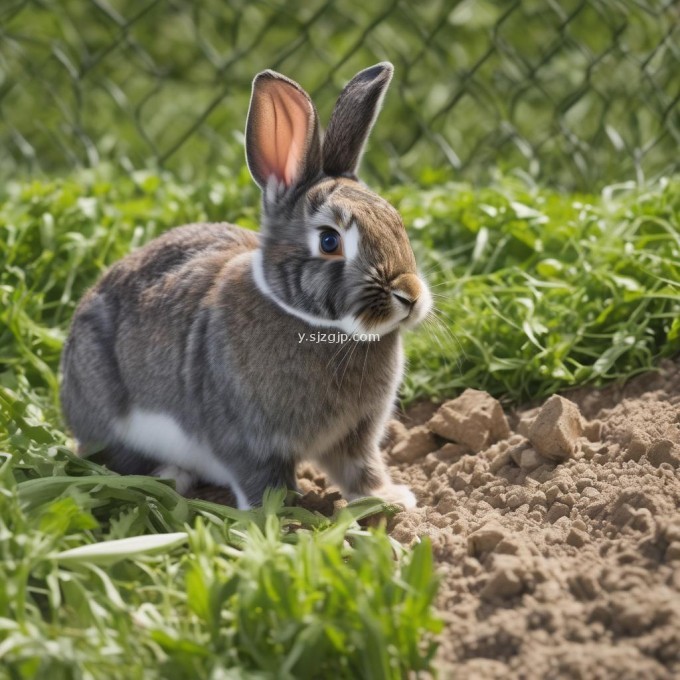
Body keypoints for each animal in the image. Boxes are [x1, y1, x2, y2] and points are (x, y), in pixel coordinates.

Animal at [59, 63, 430, 508]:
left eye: (395, 220)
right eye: (329, 241)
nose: (410, 296)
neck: (316, 325)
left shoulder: (356, 434)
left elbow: (360, 467)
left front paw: (389, 499)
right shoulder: (247, 440)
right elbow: (262, 480)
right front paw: (282, 515)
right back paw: (171, 475)